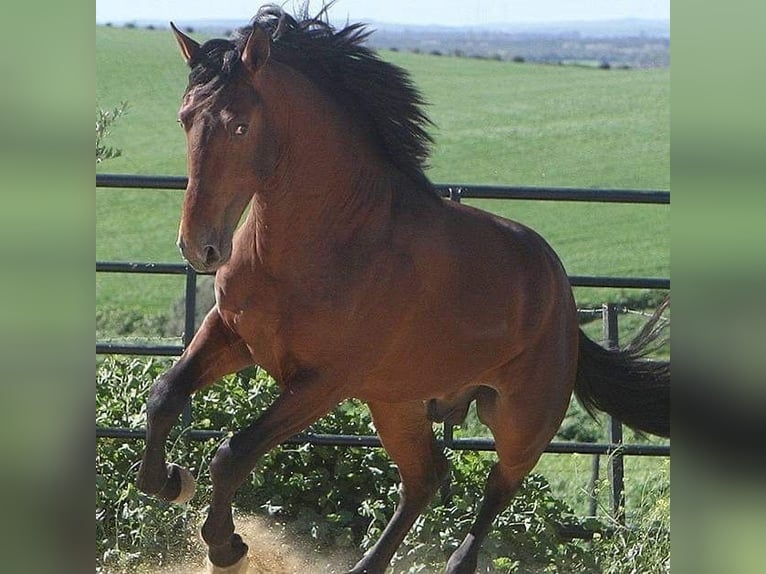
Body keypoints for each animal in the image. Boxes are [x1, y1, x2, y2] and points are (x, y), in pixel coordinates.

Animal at [138, 5, 672, 574]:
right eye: (185, 118)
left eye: (240, 125)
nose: (199, 246)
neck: (321, 243)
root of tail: (564, 297)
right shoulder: (233, 336)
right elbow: (164, 395)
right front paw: (169, 482)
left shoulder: (322, 382)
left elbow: (234, 451)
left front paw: (227, 547)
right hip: (396, 403)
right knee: (426, 477)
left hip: (521, 420)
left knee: (495, 489)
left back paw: (456, 560)